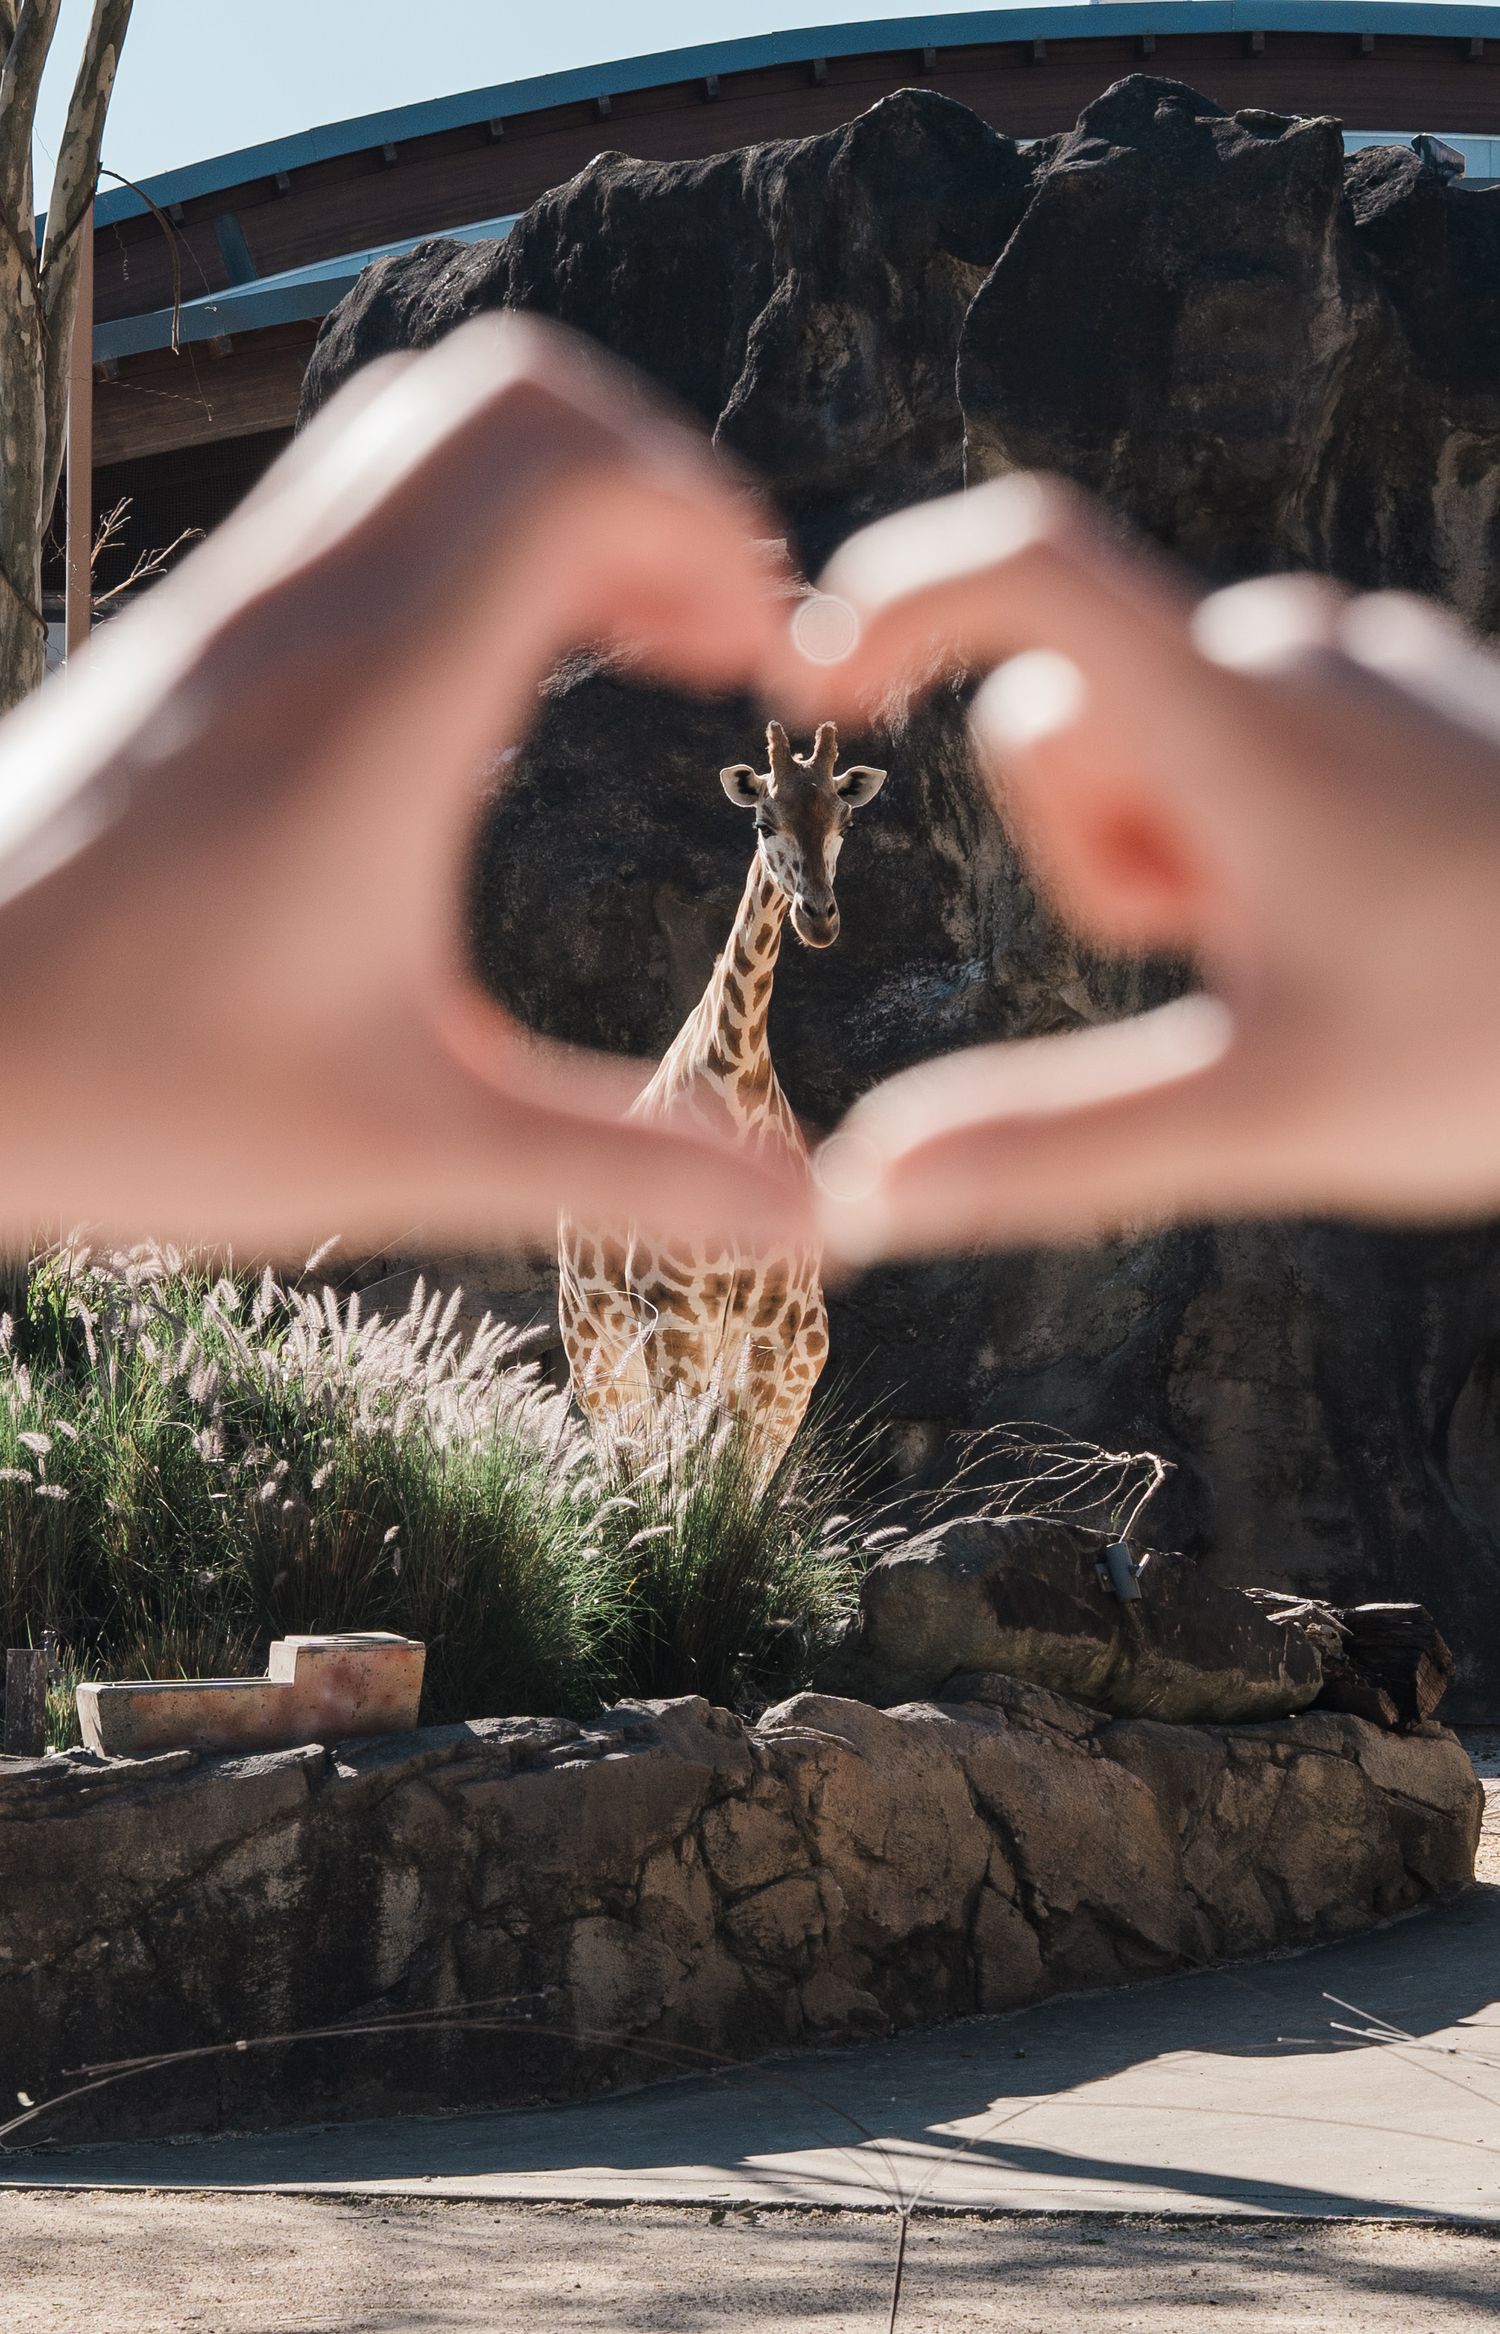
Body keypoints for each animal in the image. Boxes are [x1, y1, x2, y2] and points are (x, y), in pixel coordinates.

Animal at [557, 719, 887, 1477]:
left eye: (846, 820)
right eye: (764, 821)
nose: (818, 918)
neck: (736, 1089)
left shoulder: (770, 1328)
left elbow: (728, 1486)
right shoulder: (675, 1318)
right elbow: (682, 1483)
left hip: (783, 1365)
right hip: (597, 1356)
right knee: (630, 1463)